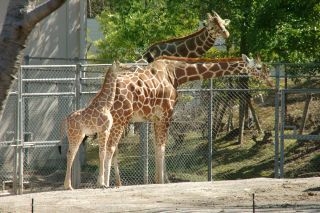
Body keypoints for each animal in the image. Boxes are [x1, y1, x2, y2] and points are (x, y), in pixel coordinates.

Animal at [63, 61, 118, 190]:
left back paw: (68, 185)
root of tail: (66, 120)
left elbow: (104, 153)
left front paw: (102, 183)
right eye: (122, 65)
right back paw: (68, 186)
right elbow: (102, 153)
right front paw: (101, 183)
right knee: (71, 154)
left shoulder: (107, 130)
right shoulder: (103, 130)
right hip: (76, 135)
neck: (106, 105)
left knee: (70, 154)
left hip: (78, 136)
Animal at [103, 55, 272, 186]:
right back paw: (104, 183)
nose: (269, 81)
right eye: (258, 67)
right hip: (120, 118)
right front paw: (161, 182)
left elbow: (158, 148)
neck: (176, 74)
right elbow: (162, 148)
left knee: (111, 148)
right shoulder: (166, 114)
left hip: (115, 120)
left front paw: (161, 180)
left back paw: (115, 183)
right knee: (110, 147)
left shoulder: (156, 117)